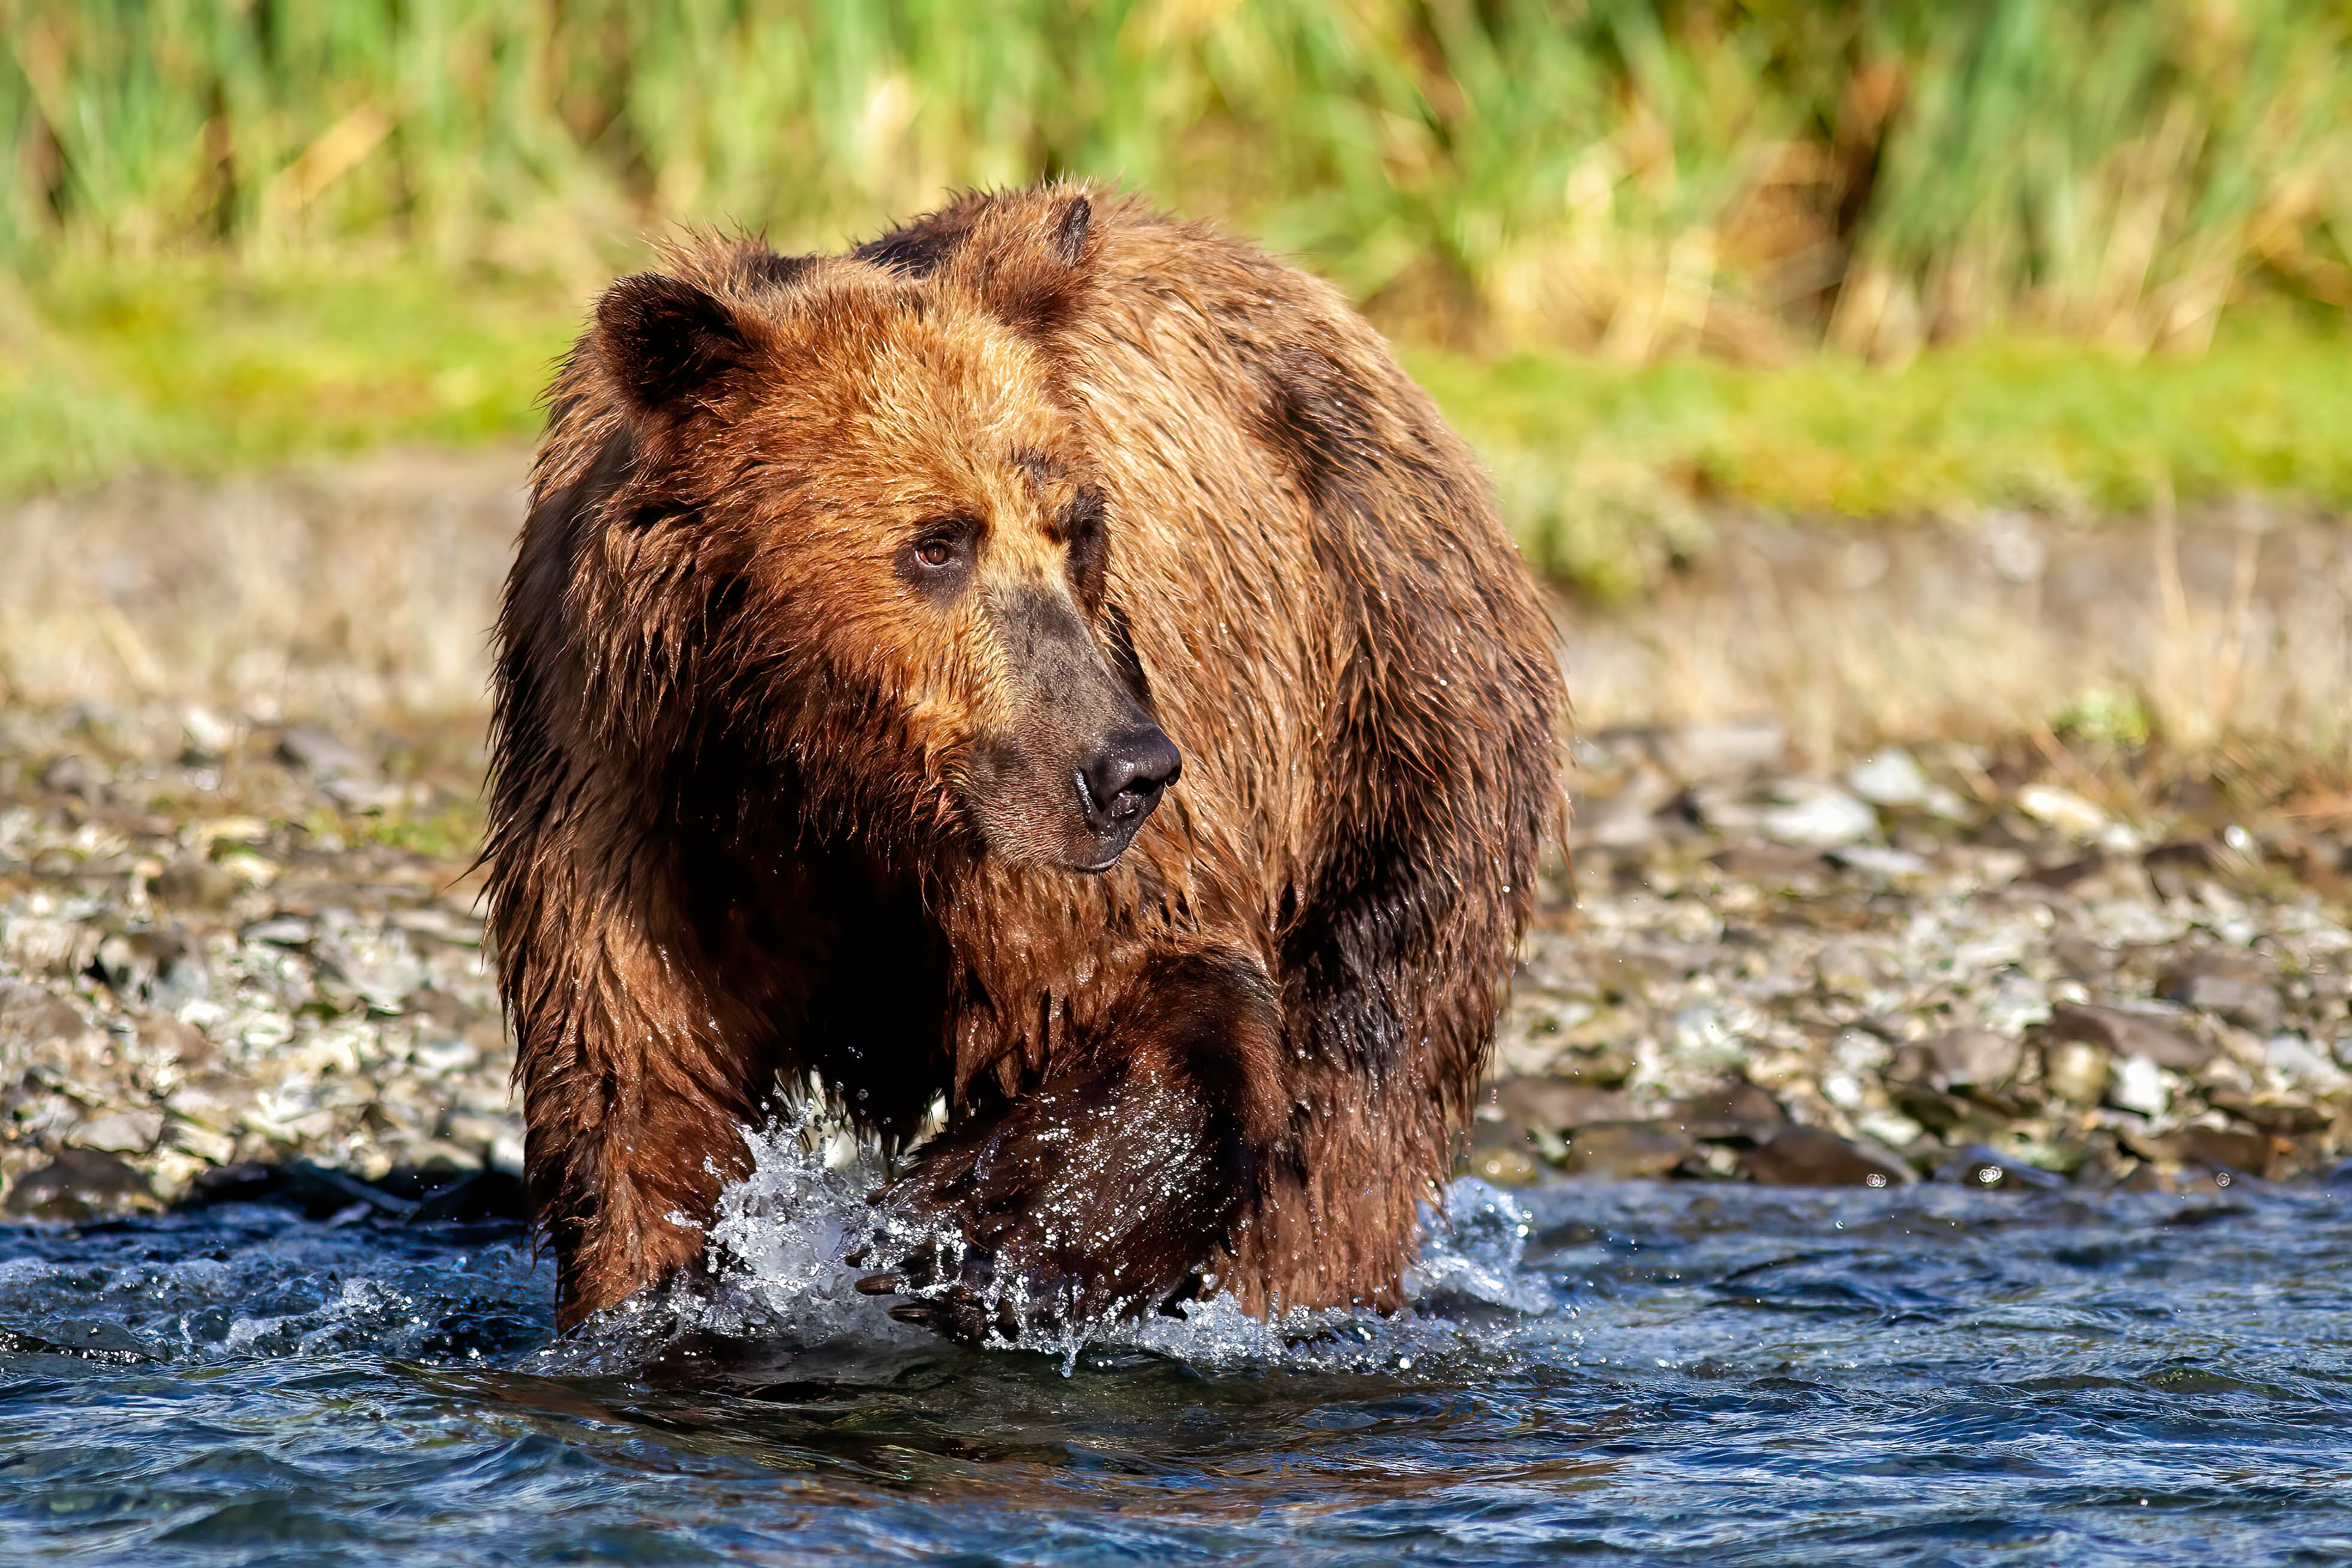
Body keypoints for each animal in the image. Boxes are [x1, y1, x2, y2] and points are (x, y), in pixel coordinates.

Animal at [485, 182, 1566, 1339]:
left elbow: (1143, 987)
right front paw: (659, 1300)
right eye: (937, 543)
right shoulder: (634, 789)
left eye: (1077, 527)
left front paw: (968, 1230)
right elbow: (638, 1090)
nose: (1132, 769)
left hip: (1395, 709)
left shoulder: (1036, 821)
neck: (813, 766)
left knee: (1361, 1076)